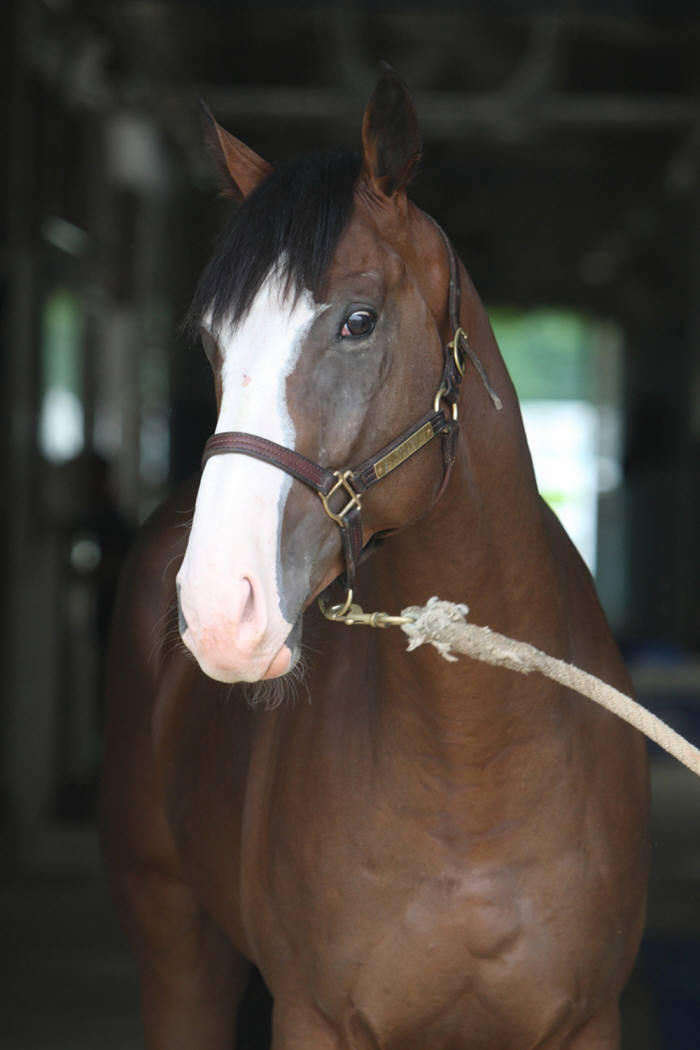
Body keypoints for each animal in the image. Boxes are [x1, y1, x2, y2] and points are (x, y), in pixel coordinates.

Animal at [102, 69, 650, 1045]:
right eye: (211, 343)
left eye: (357, 322)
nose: (219, 610)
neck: (475, 765)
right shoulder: (313, 1017)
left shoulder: (588, 1020)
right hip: (175, 942)